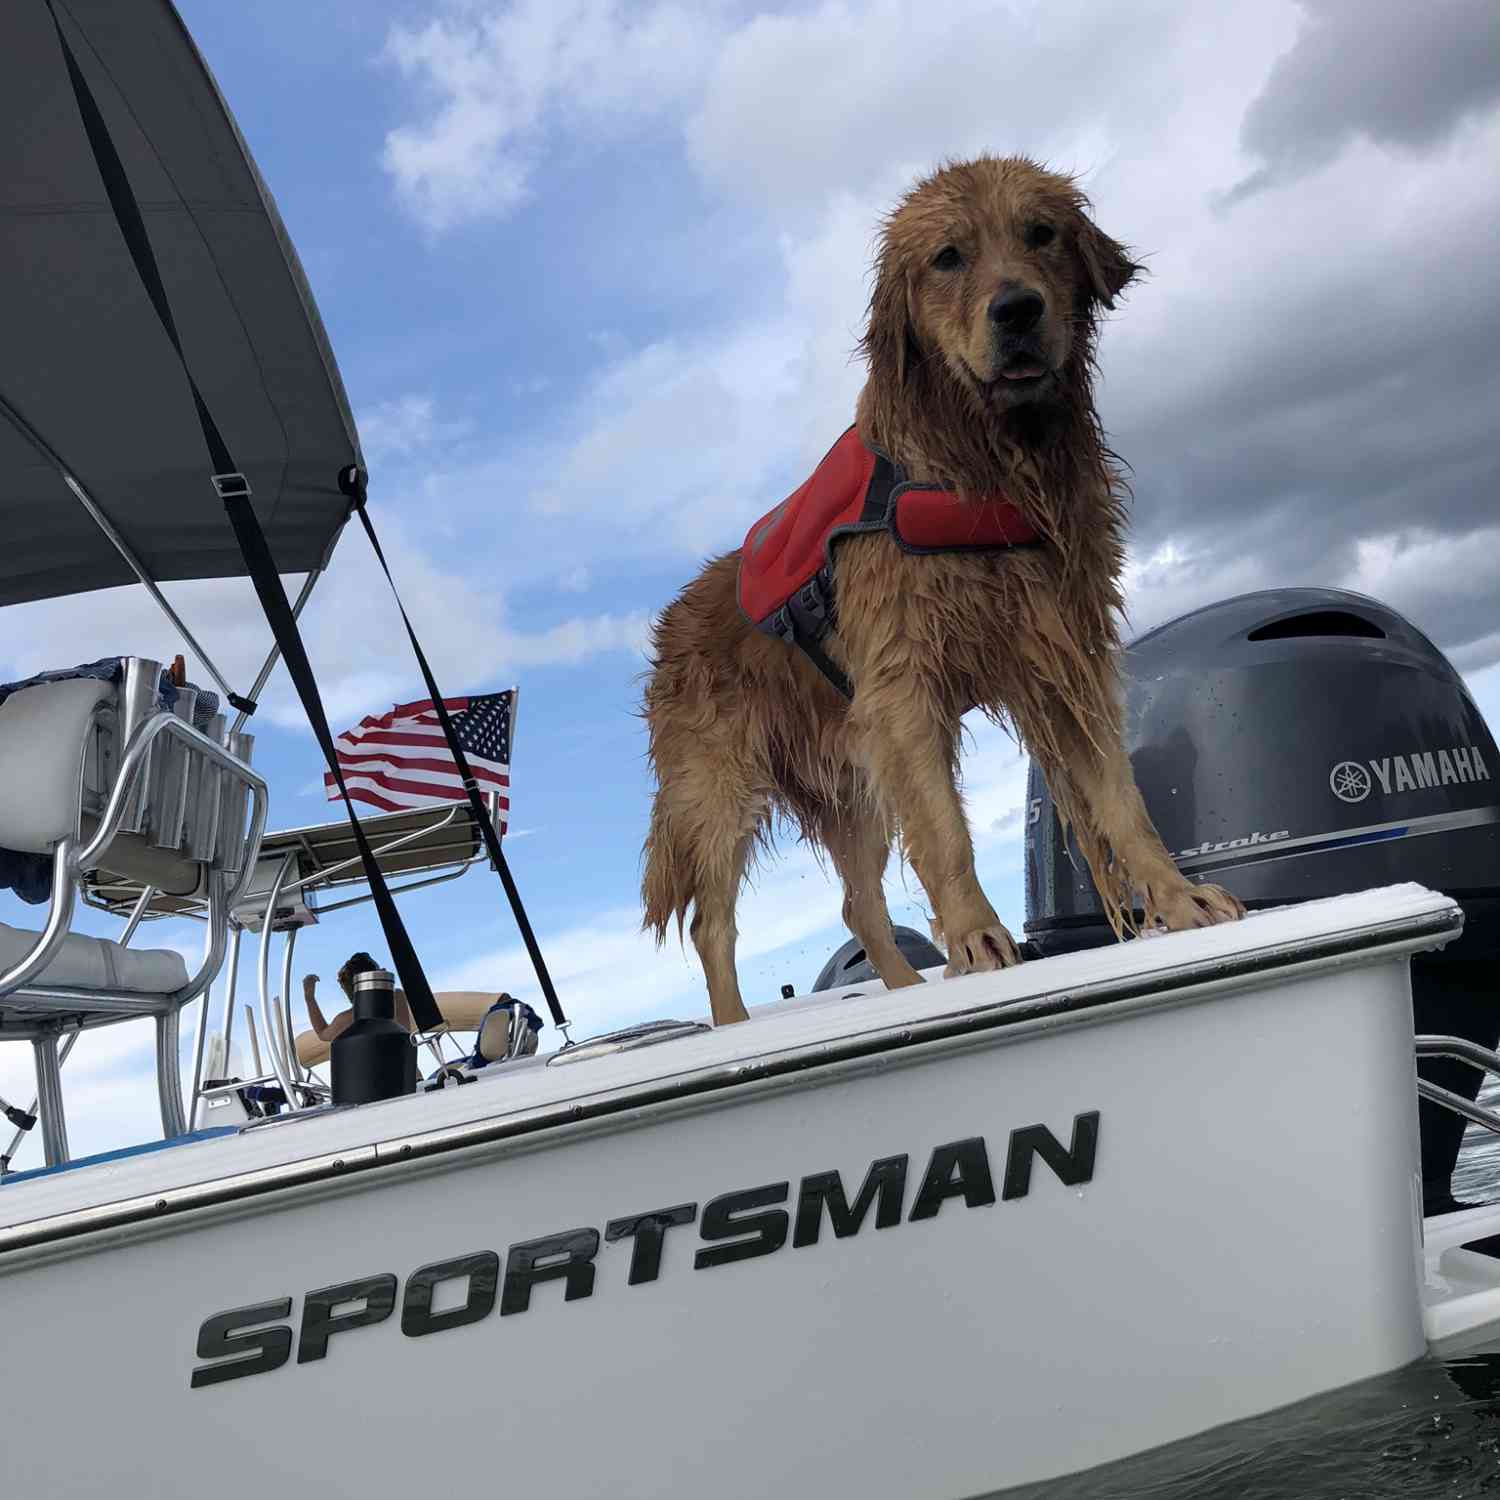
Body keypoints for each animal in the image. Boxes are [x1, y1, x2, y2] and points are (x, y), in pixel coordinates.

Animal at [642, 158, 1242, 1026]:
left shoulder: (1068, 659)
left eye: (1041, 233)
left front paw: (1179, 900)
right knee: (712, 923)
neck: (985, 465)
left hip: (851, 786)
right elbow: (948, 836)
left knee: (858, 905)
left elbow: (1121, 800)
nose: (1017, 308)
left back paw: (899, 992)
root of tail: (671, 620)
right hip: (718, 794)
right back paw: (732, 1027)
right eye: (947, 258)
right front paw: (978, 942)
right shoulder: (903, 691)